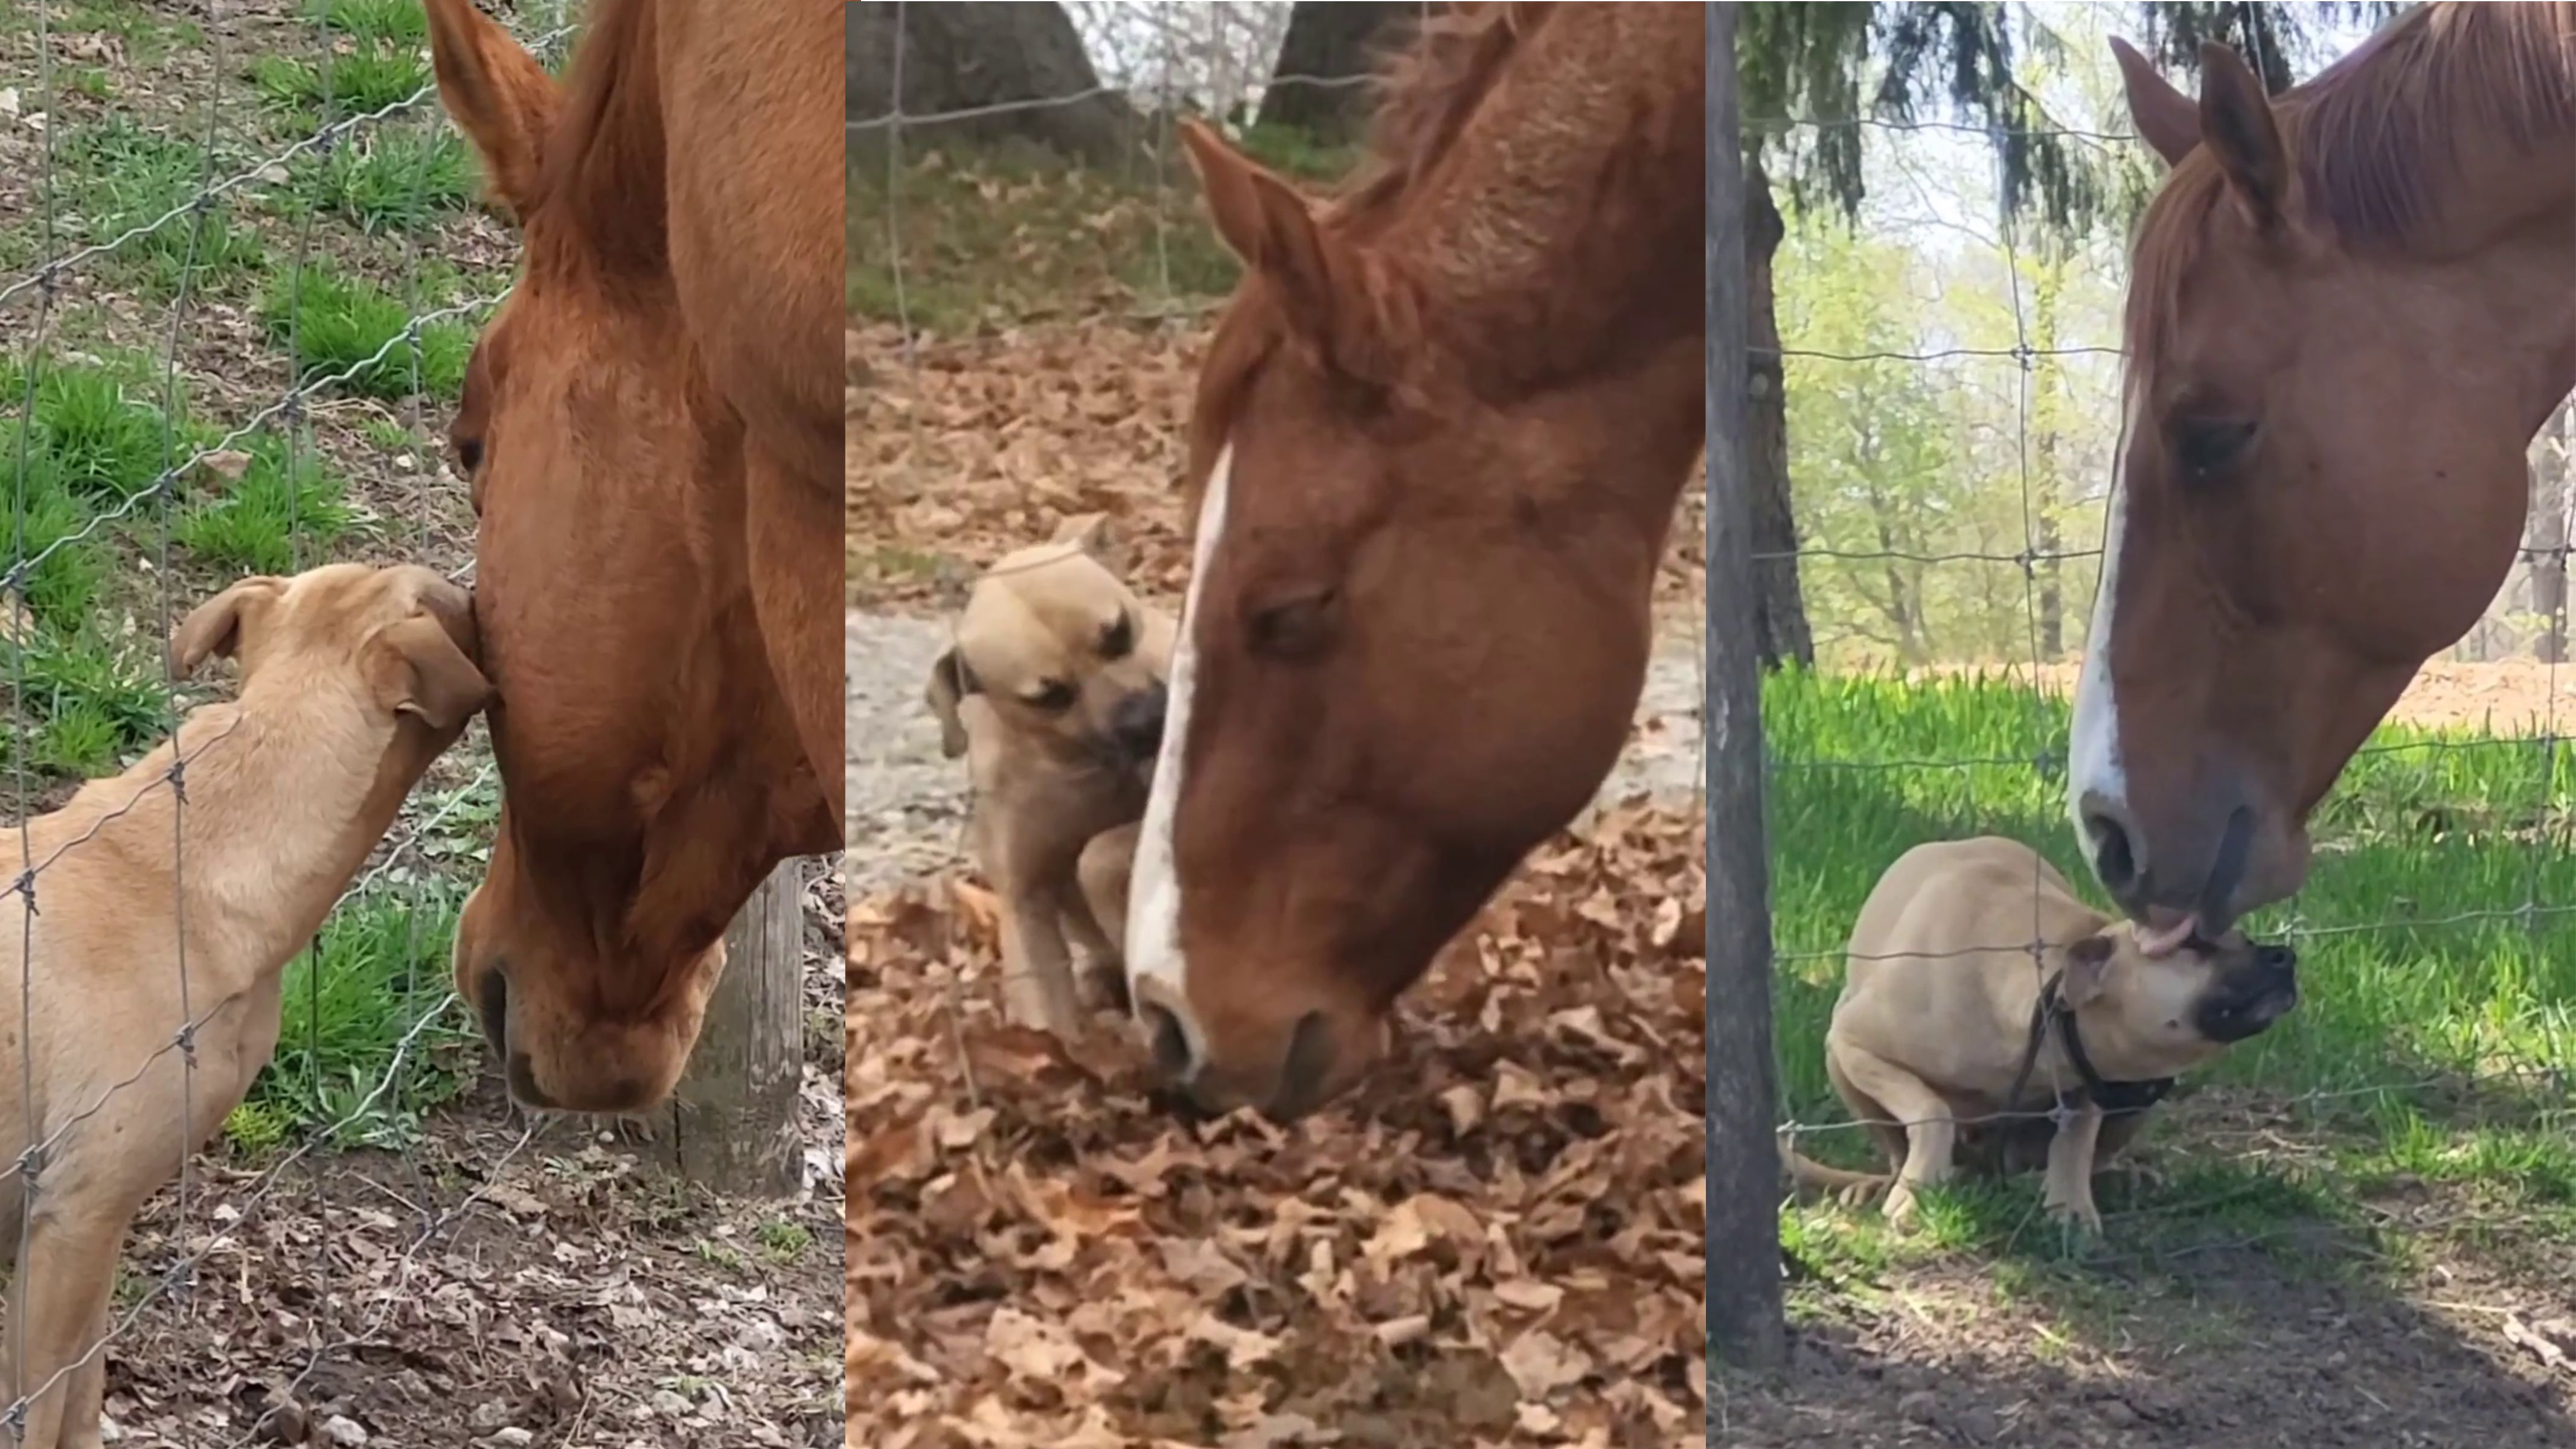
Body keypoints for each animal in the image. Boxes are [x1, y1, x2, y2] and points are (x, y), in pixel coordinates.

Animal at [922, 514, 1174, 1040]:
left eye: (1118, 632)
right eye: (1050, 696)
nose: (1149, 721)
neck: (1082, 769)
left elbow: (1099, 855)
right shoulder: (1025, 903)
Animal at [1783, 839, 2308, 1235]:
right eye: (2195, 946)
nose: (2285, 956)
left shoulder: (2091, 1075)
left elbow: (2074, 1139)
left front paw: (2070, 1207)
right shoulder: (1853, 1041)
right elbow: (1931, 1110)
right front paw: (1919, 1187)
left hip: (2134, 1105)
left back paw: (2120, 1178)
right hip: (1845, 1076)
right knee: (1897, 1150)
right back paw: (1882, 1184)